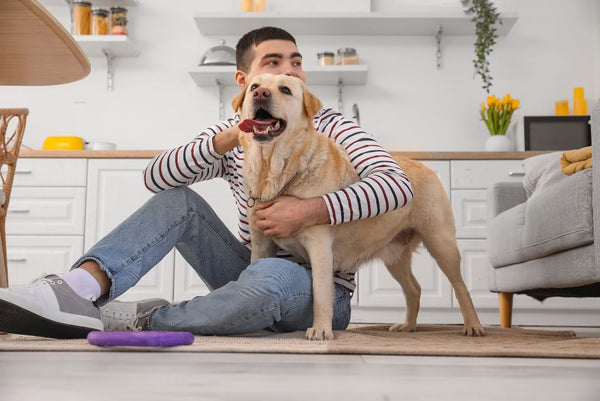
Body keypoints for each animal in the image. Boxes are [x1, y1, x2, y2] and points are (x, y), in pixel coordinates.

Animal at [232, 73, 486, 340]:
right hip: (395, 256)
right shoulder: (262, 244)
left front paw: (321, 330)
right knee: (414, 289)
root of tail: (424, 165)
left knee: (461, 287)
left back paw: (473, 325)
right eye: (254, 86)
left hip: (441, 243)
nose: (260, 94)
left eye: (285, 90)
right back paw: (407, 325)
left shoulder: (320, 247)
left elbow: (321, 293)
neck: (274, 168)